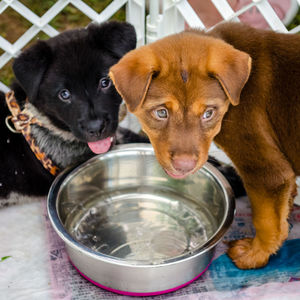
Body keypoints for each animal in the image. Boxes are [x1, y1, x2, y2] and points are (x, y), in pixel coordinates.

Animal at [109, 22, 300, 268]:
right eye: (161, 112)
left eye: (209, 113)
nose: (184, 165)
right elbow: (282, 213)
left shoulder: (267, 173)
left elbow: (267, 221)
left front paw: (253, 255)